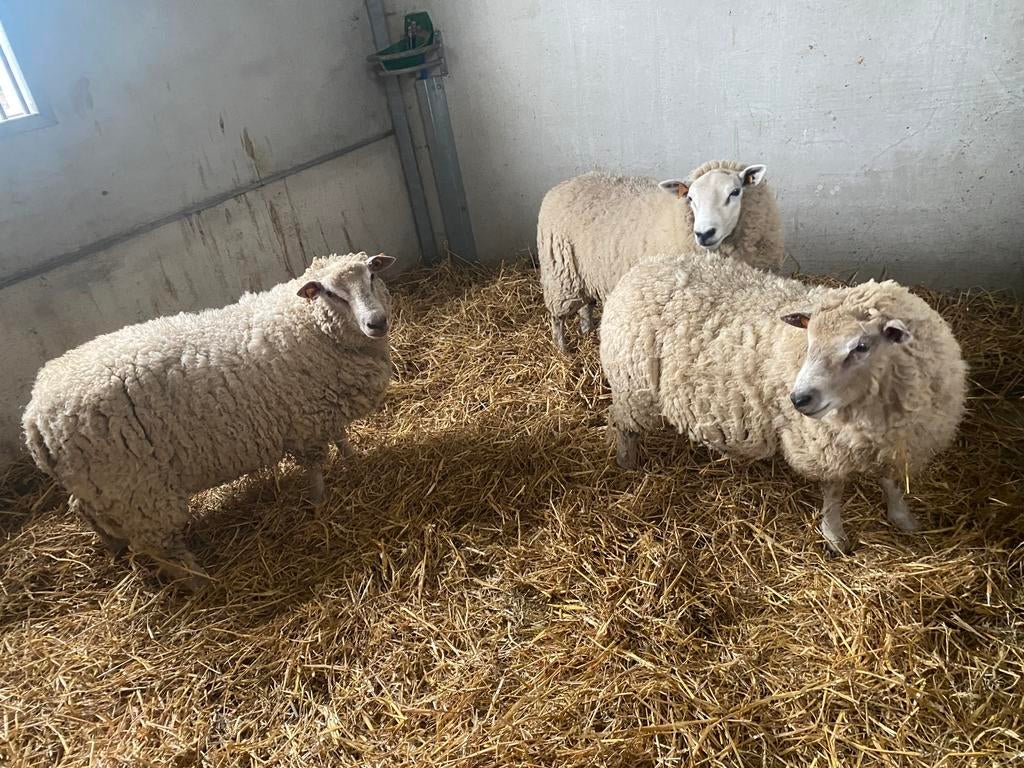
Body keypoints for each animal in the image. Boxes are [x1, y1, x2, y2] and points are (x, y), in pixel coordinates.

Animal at [22, 251, 396, 588]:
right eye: (331, 293)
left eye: (372, 275)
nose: (376, 322)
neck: (307, 324)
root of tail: (34, 419)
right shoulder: (306, 419)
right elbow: (316, 464)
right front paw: (319, 501)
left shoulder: (323, 406)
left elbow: (341, 437)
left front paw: (353, 460)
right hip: (137, 489)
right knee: (160, 547)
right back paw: (201, 583)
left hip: (98, 485)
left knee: (83, 510)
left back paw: (115, 546)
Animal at [537, 159, 784, 353]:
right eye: (690, 198)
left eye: (735, 192)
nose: (704, 233)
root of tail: (564, 184)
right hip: (560, 276)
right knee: (557, 317)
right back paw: (562, 350)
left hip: (583, 272)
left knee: (585, 304)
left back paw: (586, 329)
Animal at [599, 252, 967, 554]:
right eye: (809, 339)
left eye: (861, 346)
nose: (798, 398)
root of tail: (646, 265)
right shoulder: (822, 445)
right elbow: (834, 491)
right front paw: (835, 537)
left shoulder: (899, 443)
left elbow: (892, 483)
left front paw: (903, 519)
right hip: (633, 387)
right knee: (623, 424)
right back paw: (627, 463)